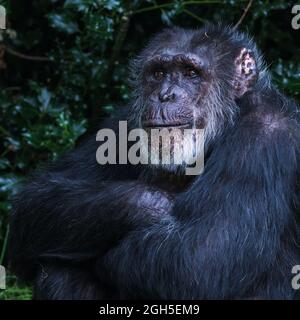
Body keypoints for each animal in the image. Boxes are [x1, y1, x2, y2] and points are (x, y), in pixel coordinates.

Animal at [8, 23, 298, 298]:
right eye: (158, 73)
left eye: (191, 73)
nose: (165, 95)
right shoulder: (121, 122)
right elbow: (37, 199)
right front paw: (156, 203)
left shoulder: (265, 136)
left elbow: (201, 256)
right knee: (58, 271)